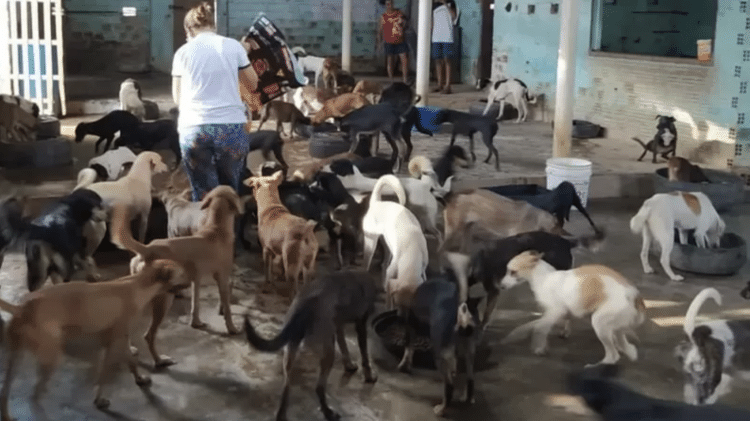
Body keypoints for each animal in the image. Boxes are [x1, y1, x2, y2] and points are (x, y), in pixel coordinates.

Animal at [111, 185, 244, 338]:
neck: (216, 228)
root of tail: (146, 249)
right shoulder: (222, 279)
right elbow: (227, 307)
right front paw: (231, 327)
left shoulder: (196, 280)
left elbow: (195, 304)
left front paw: (196, 322)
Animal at [244, 270, 378, 420]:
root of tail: (305, 303)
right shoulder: (361, 324)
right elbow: (364, 355)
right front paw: (369, 376)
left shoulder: (338, 325)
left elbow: (344, 346)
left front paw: (349, 365)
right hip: (327, 352)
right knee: (319, 388)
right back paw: (328, 412)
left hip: (291, 349)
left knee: (287, 386)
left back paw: (282, 414)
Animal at [500, 251, 648, 366]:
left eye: (513, 272)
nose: (500, 286)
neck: (543, 278)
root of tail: (635, 296)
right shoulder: (561, 313)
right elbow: (543, 324)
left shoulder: (555, 311)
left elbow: (538, 328)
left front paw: (539, 347)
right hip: (616, 327)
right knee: (627, 347)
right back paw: (628, 351)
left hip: (599, 322)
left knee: (612, 356)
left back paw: (596, 367)